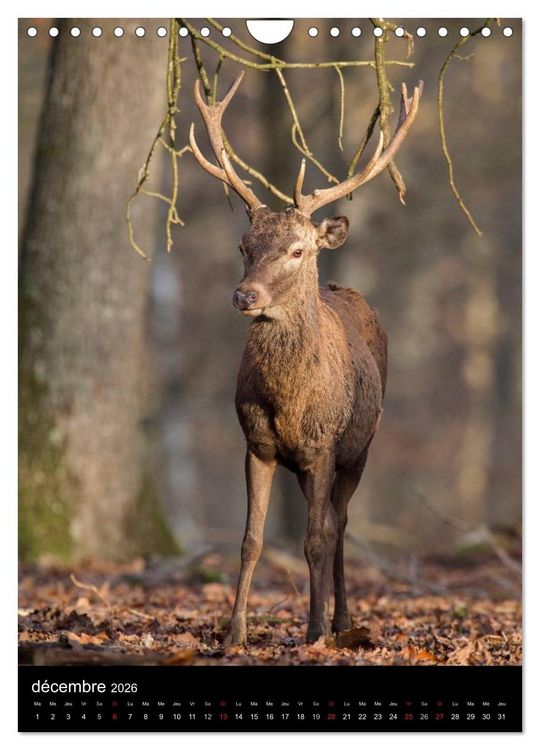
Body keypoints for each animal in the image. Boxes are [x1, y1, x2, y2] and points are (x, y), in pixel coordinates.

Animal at [189, 71, 423, 645]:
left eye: (298, 250)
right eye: (244, 245)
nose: (244, 295)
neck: (290, 401)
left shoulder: (323, 445)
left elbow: (316, 538)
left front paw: (314, 630)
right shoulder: (257, 445)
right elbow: (250, 540)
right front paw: (234, 634)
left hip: (361, 446)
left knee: (339, 524)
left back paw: (341, 621)